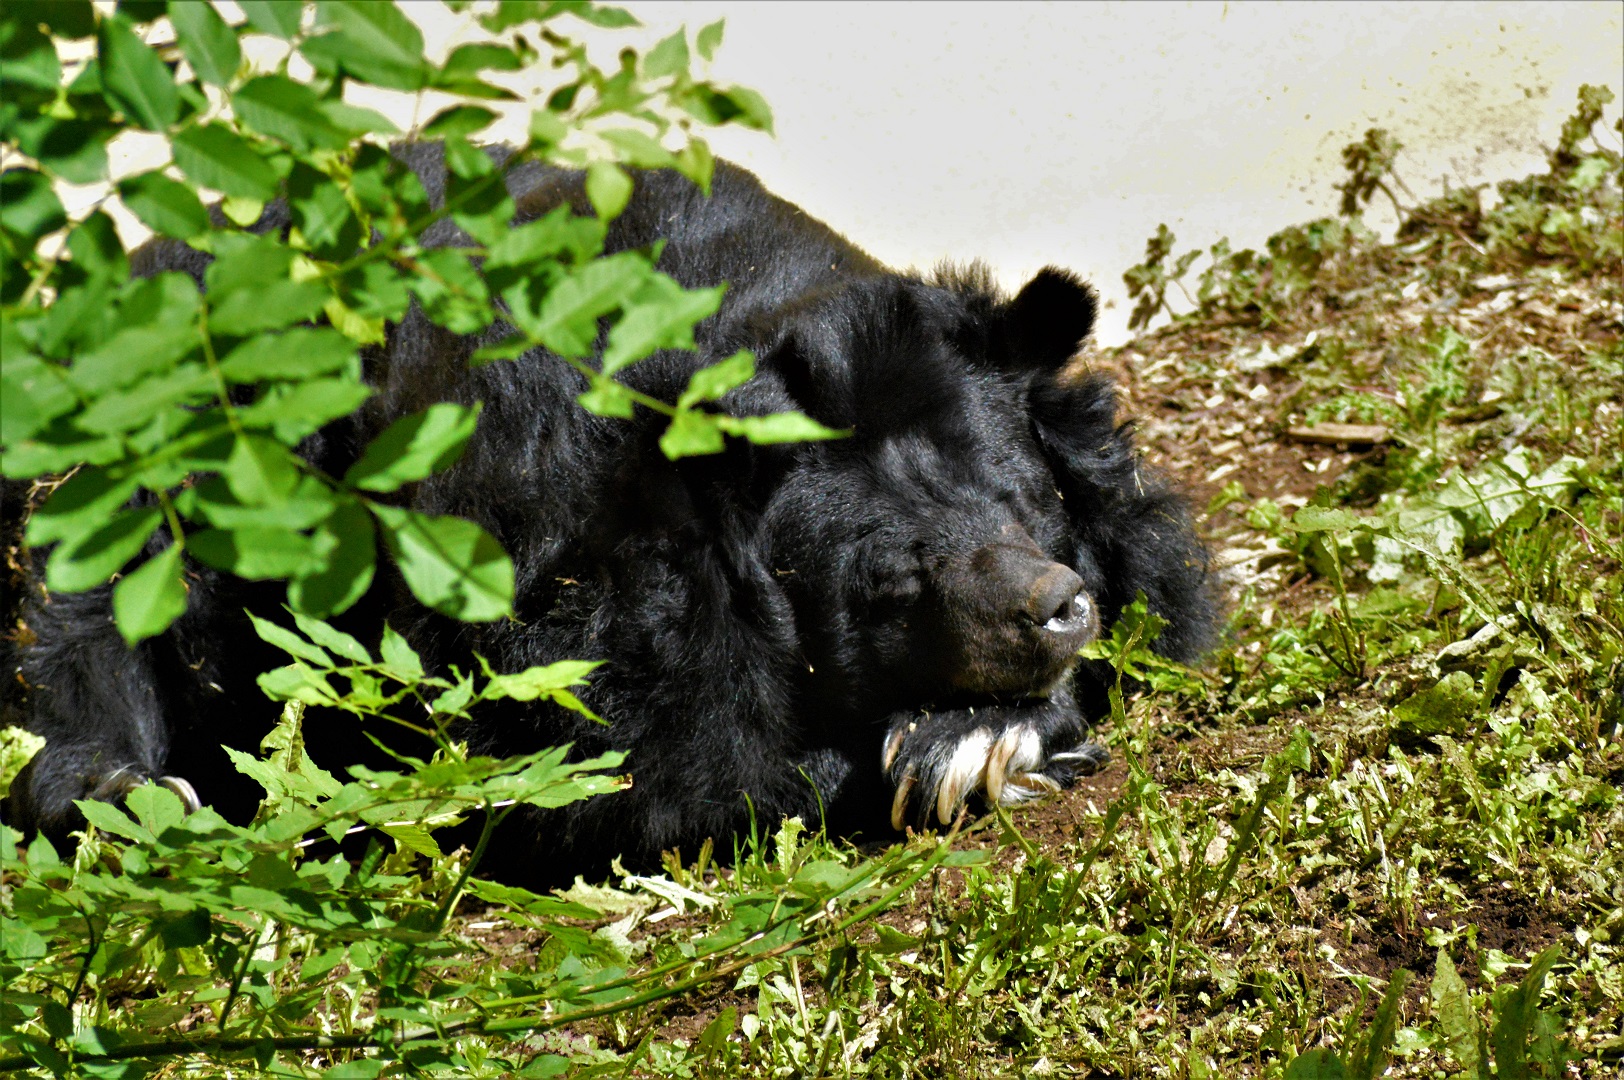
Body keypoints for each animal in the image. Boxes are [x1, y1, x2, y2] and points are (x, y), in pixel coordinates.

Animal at [4, 148, 1217, 883]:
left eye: (1024, 505)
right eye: (889, 580)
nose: (1054, 609)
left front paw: (985, 731)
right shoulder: (567, 599)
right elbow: (650, 780)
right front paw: (952, 748)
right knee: (91, 604)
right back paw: (118, 790)